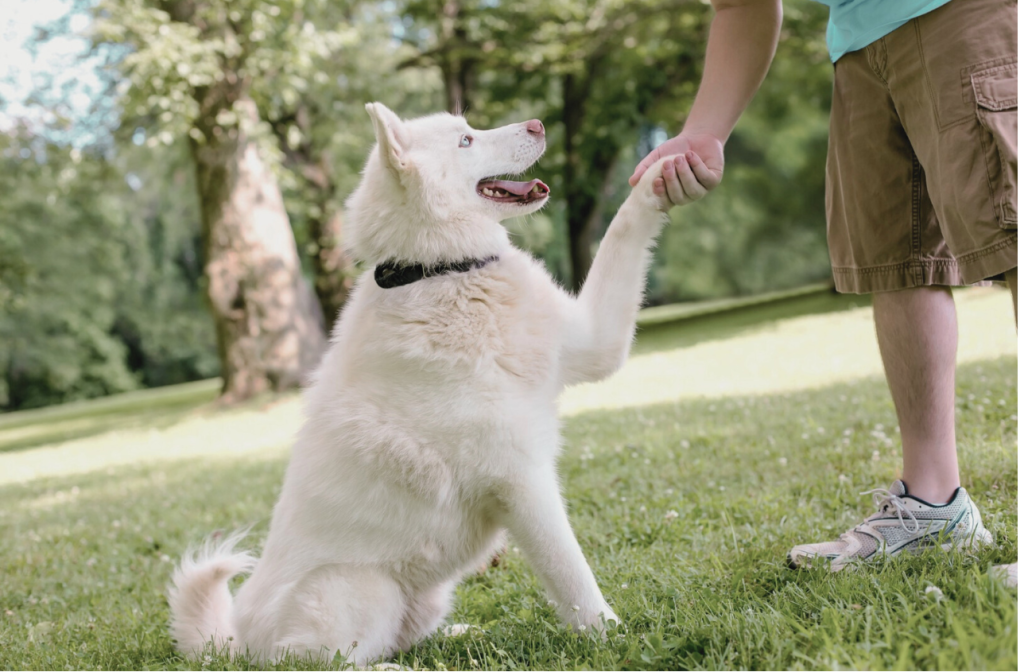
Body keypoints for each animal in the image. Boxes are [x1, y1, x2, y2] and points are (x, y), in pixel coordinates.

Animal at [169, 102, 671, 663]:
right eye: (466, 141)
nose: (539, 124)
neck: (441, 272)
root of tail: (238, 642)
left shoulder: (597, 343)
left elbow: (623, 230)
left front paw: (661, 172)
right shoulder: (522, 482)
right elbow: (573, 577)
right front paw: (611, 636)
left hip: (427, 596)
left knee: (403, 639)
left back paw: (461, 636)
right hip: (361, 590)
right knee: (328, 661)